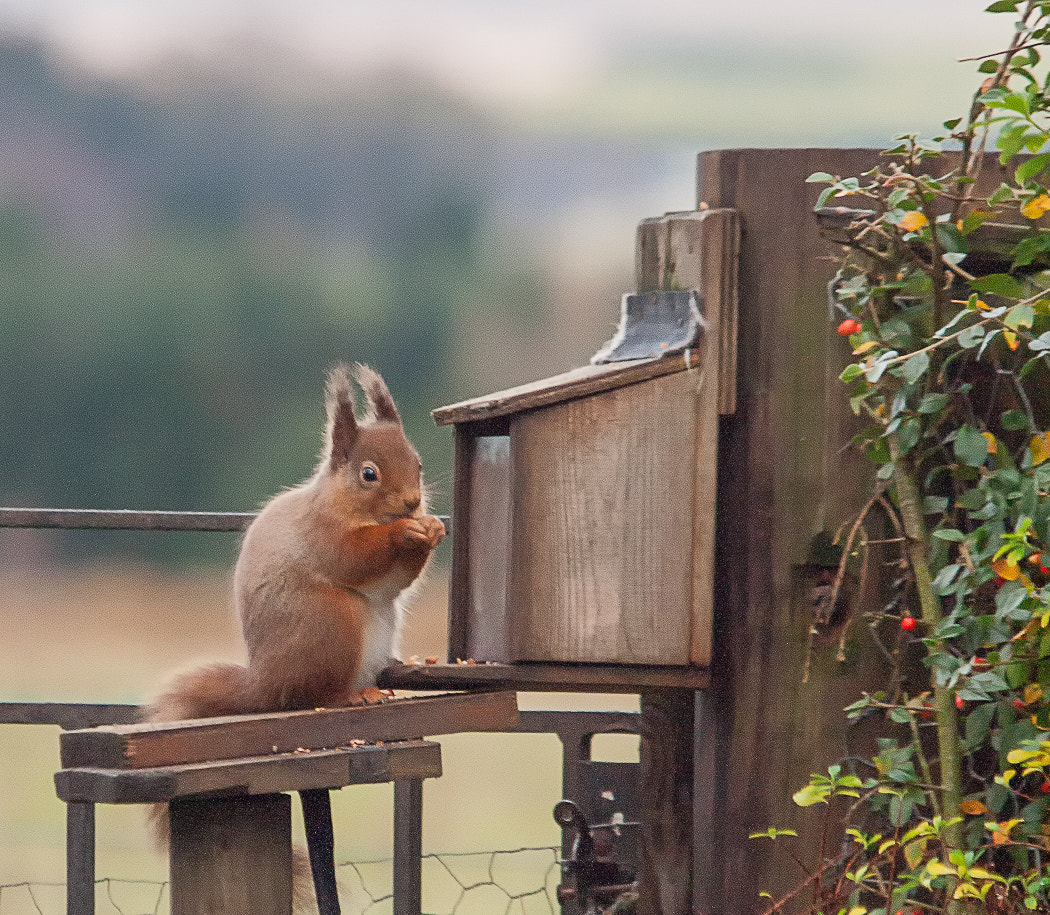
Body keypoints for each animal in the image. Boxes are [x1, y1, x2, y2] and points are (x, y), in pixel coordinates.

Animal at [147, 365, 443, 722]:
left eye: (419, 464)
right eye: (369, 474)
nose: (413, 503)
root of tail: (266, 687)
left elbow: (396, 580)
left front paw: (432, 528)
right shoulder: (321, 532)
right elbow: (353, 559)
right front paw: (403, 531)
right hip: (331, 625)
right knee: (314, 694)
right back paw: (350, 696)